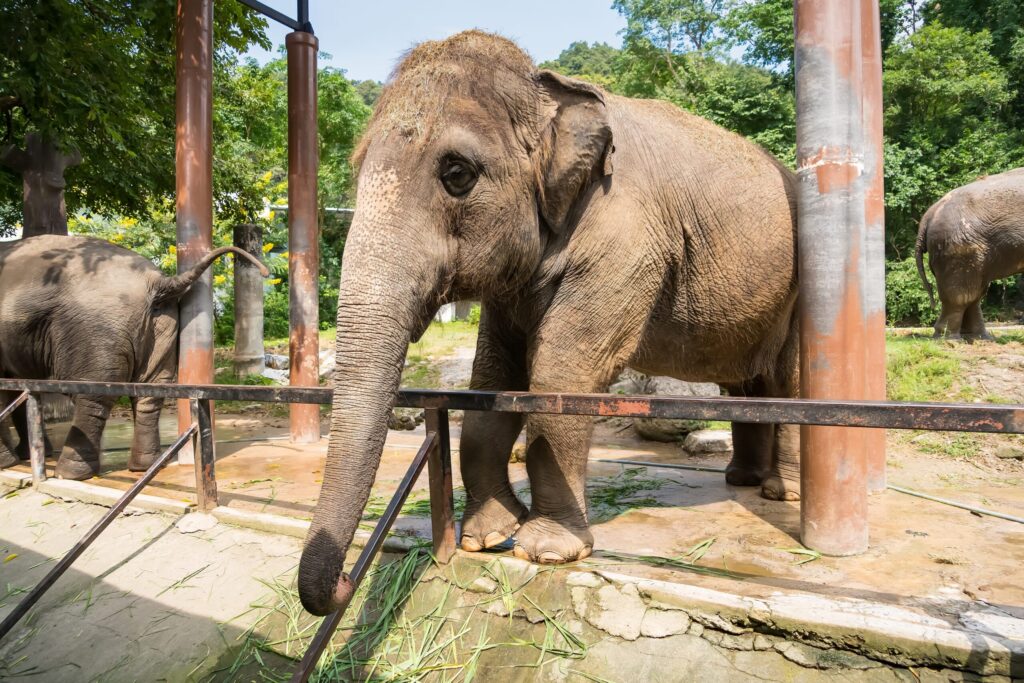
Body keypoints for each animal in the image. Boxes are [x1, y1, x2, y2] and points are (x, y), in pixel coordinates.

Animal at [0, 234, 268, 479]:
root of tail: (156, 281)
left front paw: (9, 463)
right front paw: (20, 457)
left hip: (95, 327)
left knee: (91, 393)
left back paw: (70, 475)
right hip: (160, 326)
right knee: (149, 391)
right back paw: (145, 466)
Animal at [297, 31, 799, 616]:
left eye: (456, 174)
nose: (343, 581)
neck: (547, 91)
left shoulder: (626, 237)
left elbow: (563, 370)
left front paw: (546, 552)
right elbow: (491, 377)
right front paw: (485, 538)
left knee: (790, 382)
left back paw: (780, 493)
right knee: (748, 384)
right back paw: (743, 480)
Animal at [915, 167, 1024, 339]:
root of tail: (929, 214)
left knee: (974, 295)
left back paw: (980, 338)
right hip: (958, 248)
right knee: (960, 296)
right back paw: (950, 339)